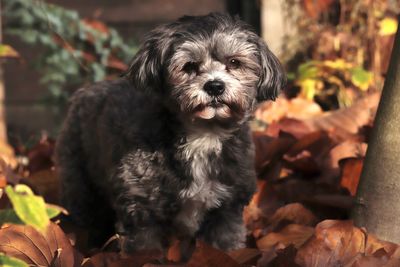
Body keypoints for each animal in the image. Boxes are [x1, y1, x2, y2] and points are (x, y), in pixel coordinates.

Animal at [56, 13, 286, 253]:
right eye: (190, 65)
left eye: (234, 62)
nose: (215, 86)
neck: (203, 134)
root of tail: (84, 91)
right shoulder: (141, 210)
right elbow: (144, 249)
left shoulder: (226, 209)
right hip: (79, 181)